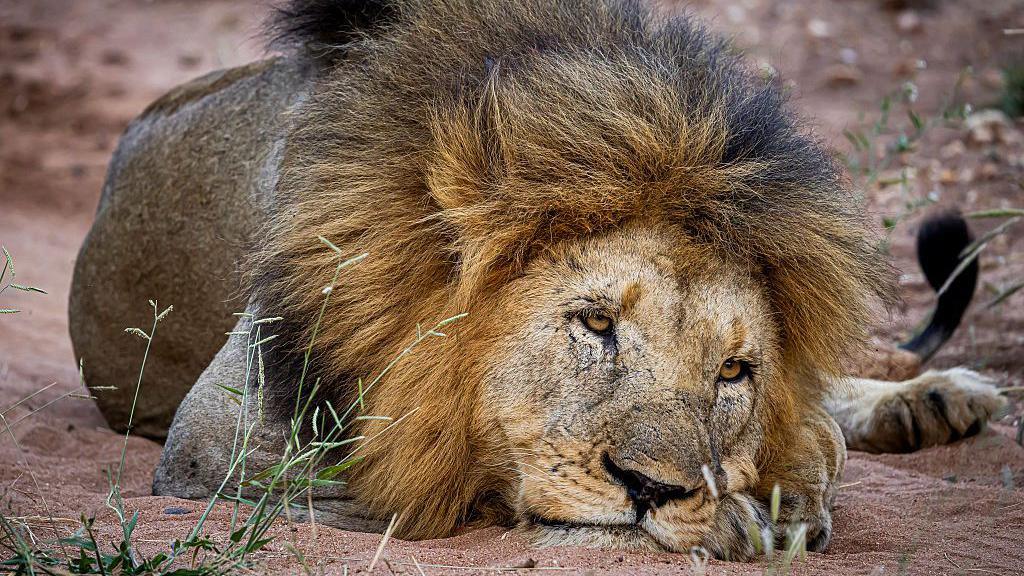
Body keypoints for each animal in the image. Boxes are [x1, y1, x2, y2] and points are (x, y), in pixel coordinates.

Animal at [68, 0, 1005, 560]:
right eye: (594, 323)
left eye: (734, 371)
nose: (652, 490)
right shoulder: (216, 445)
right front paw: (752, 513)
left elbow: (807, 431)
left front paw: (788, 483)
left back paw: (931, 399)